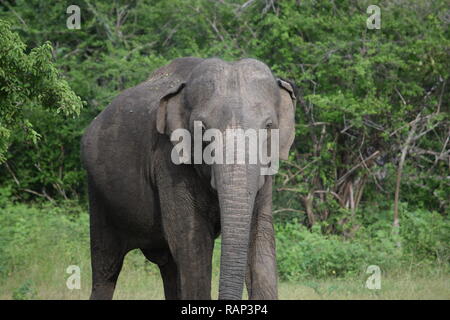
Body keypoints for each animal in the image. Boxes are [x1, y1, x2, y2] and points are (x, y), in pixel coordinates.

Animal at [80, 57, 298, 300]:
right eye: (202, 129)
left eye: (269, 126)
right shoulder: (169, 161)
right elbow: (193, 242)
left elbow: (261, 237)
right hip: (98, 195)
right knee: (106, 267)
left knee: (168, 266)